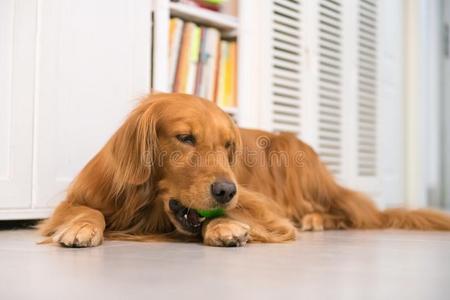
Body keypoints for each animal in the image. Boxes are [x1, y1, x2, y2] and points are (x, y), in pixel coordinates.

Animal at [37, 93, 450, 246]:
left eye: (227, 147)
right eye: (185, 138)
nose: (225, 190)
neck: (148, 205)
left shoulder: (260, 203)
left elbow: (240, 214)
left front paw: (225, 226)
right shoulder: (80, 196)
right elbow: (85, 210)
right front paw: (82, 227)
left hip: (292, 152)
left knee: (352, 213)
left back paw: (319, 219)